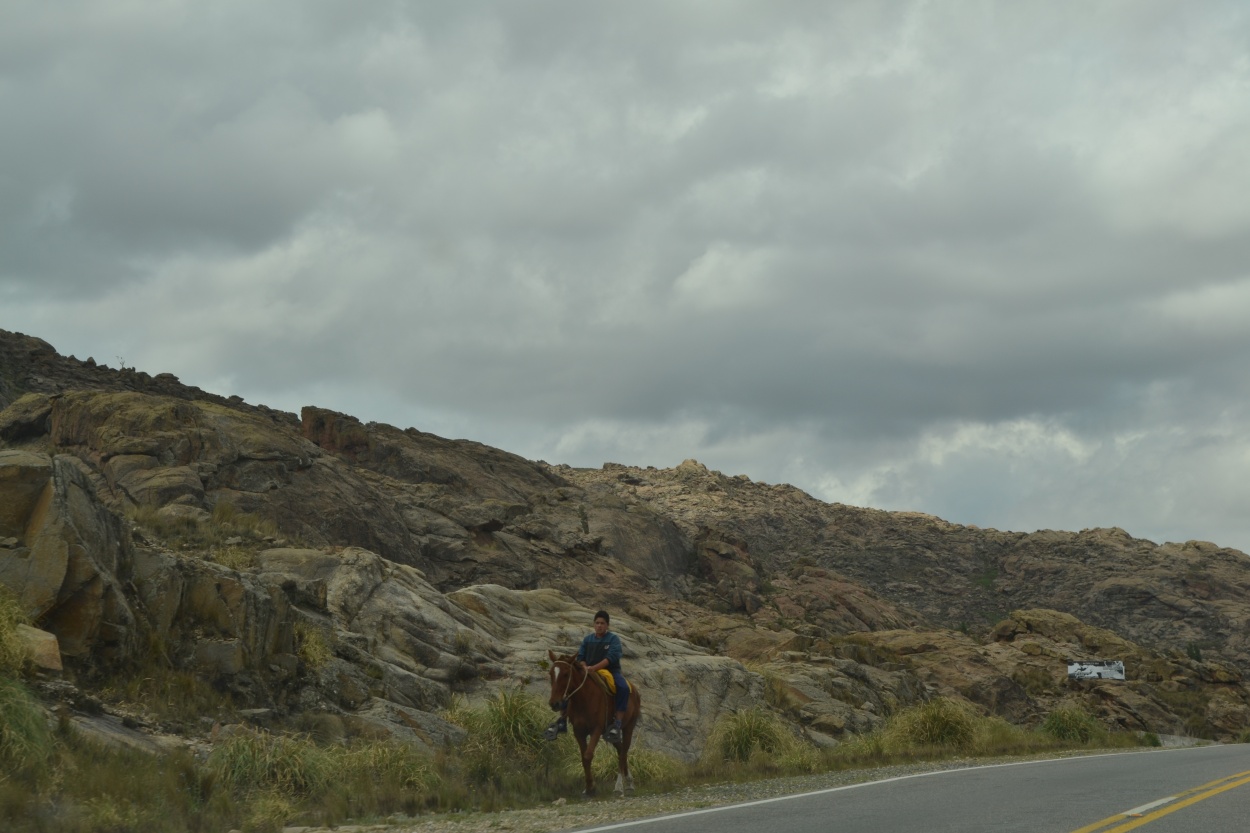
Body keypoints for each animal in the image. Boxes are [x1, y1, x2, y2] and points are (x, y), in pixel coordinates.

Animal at [550, 645, 645, 795]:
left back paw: (620, 786)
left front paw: (591, 787)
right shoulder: (579, 732)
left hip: (628, 727)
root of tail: (635, 691)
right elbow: (583, 758)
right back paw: (629, 782)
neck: (584, 699)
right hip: (609, 734)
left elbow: (588, 755)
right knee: (620, 750)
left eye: (565, 674)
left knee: (624, 751)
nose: (555, 703)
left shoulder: (596, 729)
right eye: (550, 674)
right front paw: (589, 787)